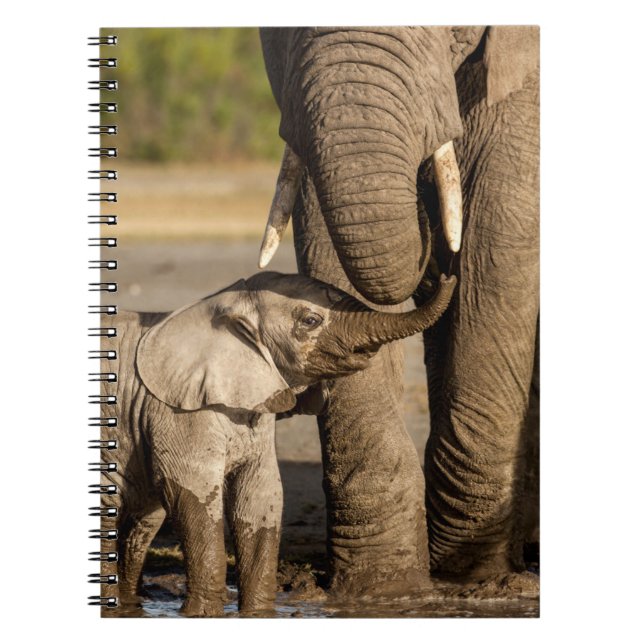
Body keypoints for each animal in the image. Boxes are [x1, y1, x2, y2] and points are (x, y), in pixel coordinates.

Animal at [98, 270, 456, 616]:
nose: (446, 277)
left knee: (142, 522)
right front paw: (202, 615)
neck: (221, 307)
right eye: (310, 320)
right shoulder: (178, 411)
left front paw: (258, 613)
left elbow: (259, 498)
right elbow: (193, 493)